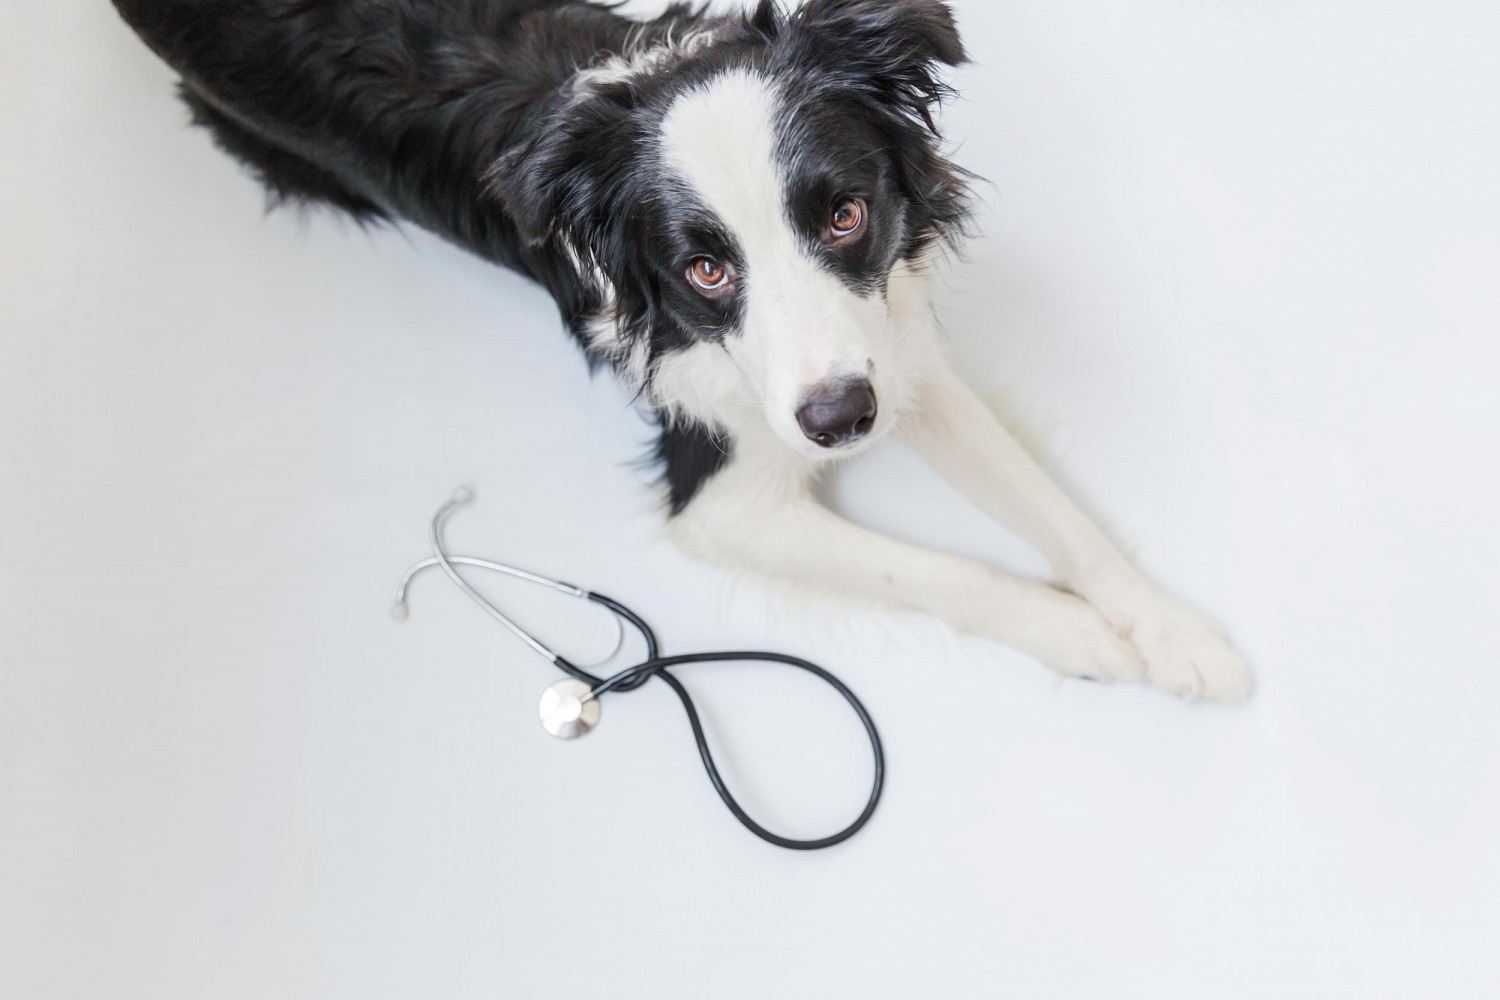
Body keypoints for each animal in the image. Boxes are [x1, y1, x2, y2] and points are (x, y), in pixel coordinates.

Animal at [111, 0, 1248, 701]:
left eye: (844, 213)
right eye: (704, 270)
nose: (840, 424)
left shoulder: (888, 347)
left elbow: (1054, 510)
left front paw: (1174, 634)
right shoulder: (722, 489)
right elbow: (948, 569)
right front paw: (1084, 639)